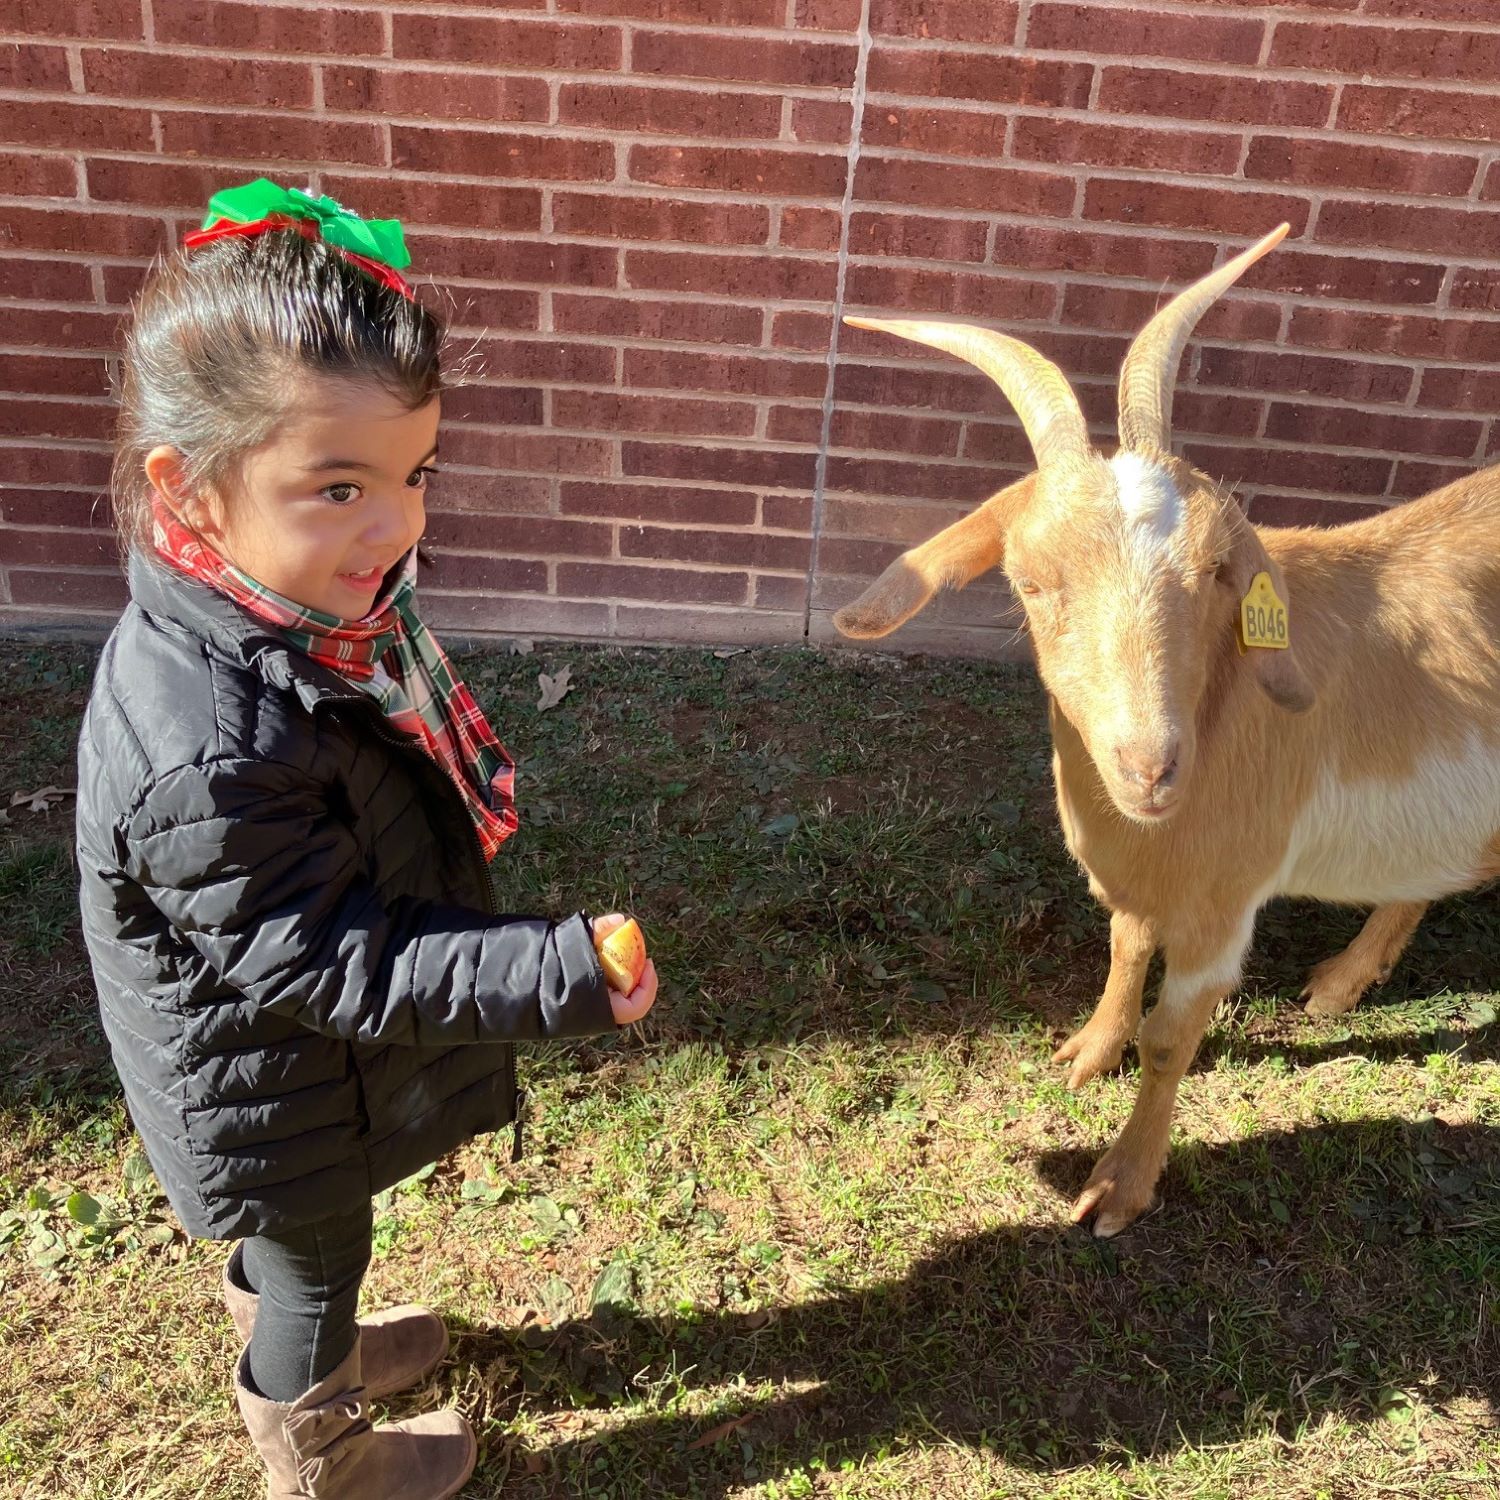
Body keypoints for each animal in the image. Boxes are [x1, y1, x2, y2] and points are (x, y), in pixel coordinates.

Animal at [834, 222, 1500, 1230]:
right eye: (1028, 582)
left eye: (1221, 571)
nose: (1151, 769)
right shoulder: (1143, 876)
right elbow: (1123, 948)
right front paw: (1087, 1050)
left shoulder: (1222, 904)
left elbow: (1171, 1039)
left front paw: (1119, 1185)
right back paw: (1342, 984)